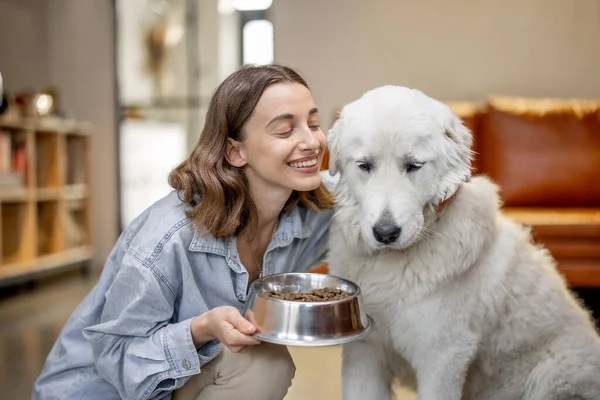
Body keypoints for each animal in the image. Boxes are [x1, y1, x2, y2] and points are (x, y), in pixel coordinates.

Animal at [326, 86, 600, 400]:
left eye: (413, 166)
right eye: (365, 166)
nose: (385, 233)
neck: (392, 266)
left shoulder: (443, 356)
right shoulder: (365, 352)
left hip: (553, 375)